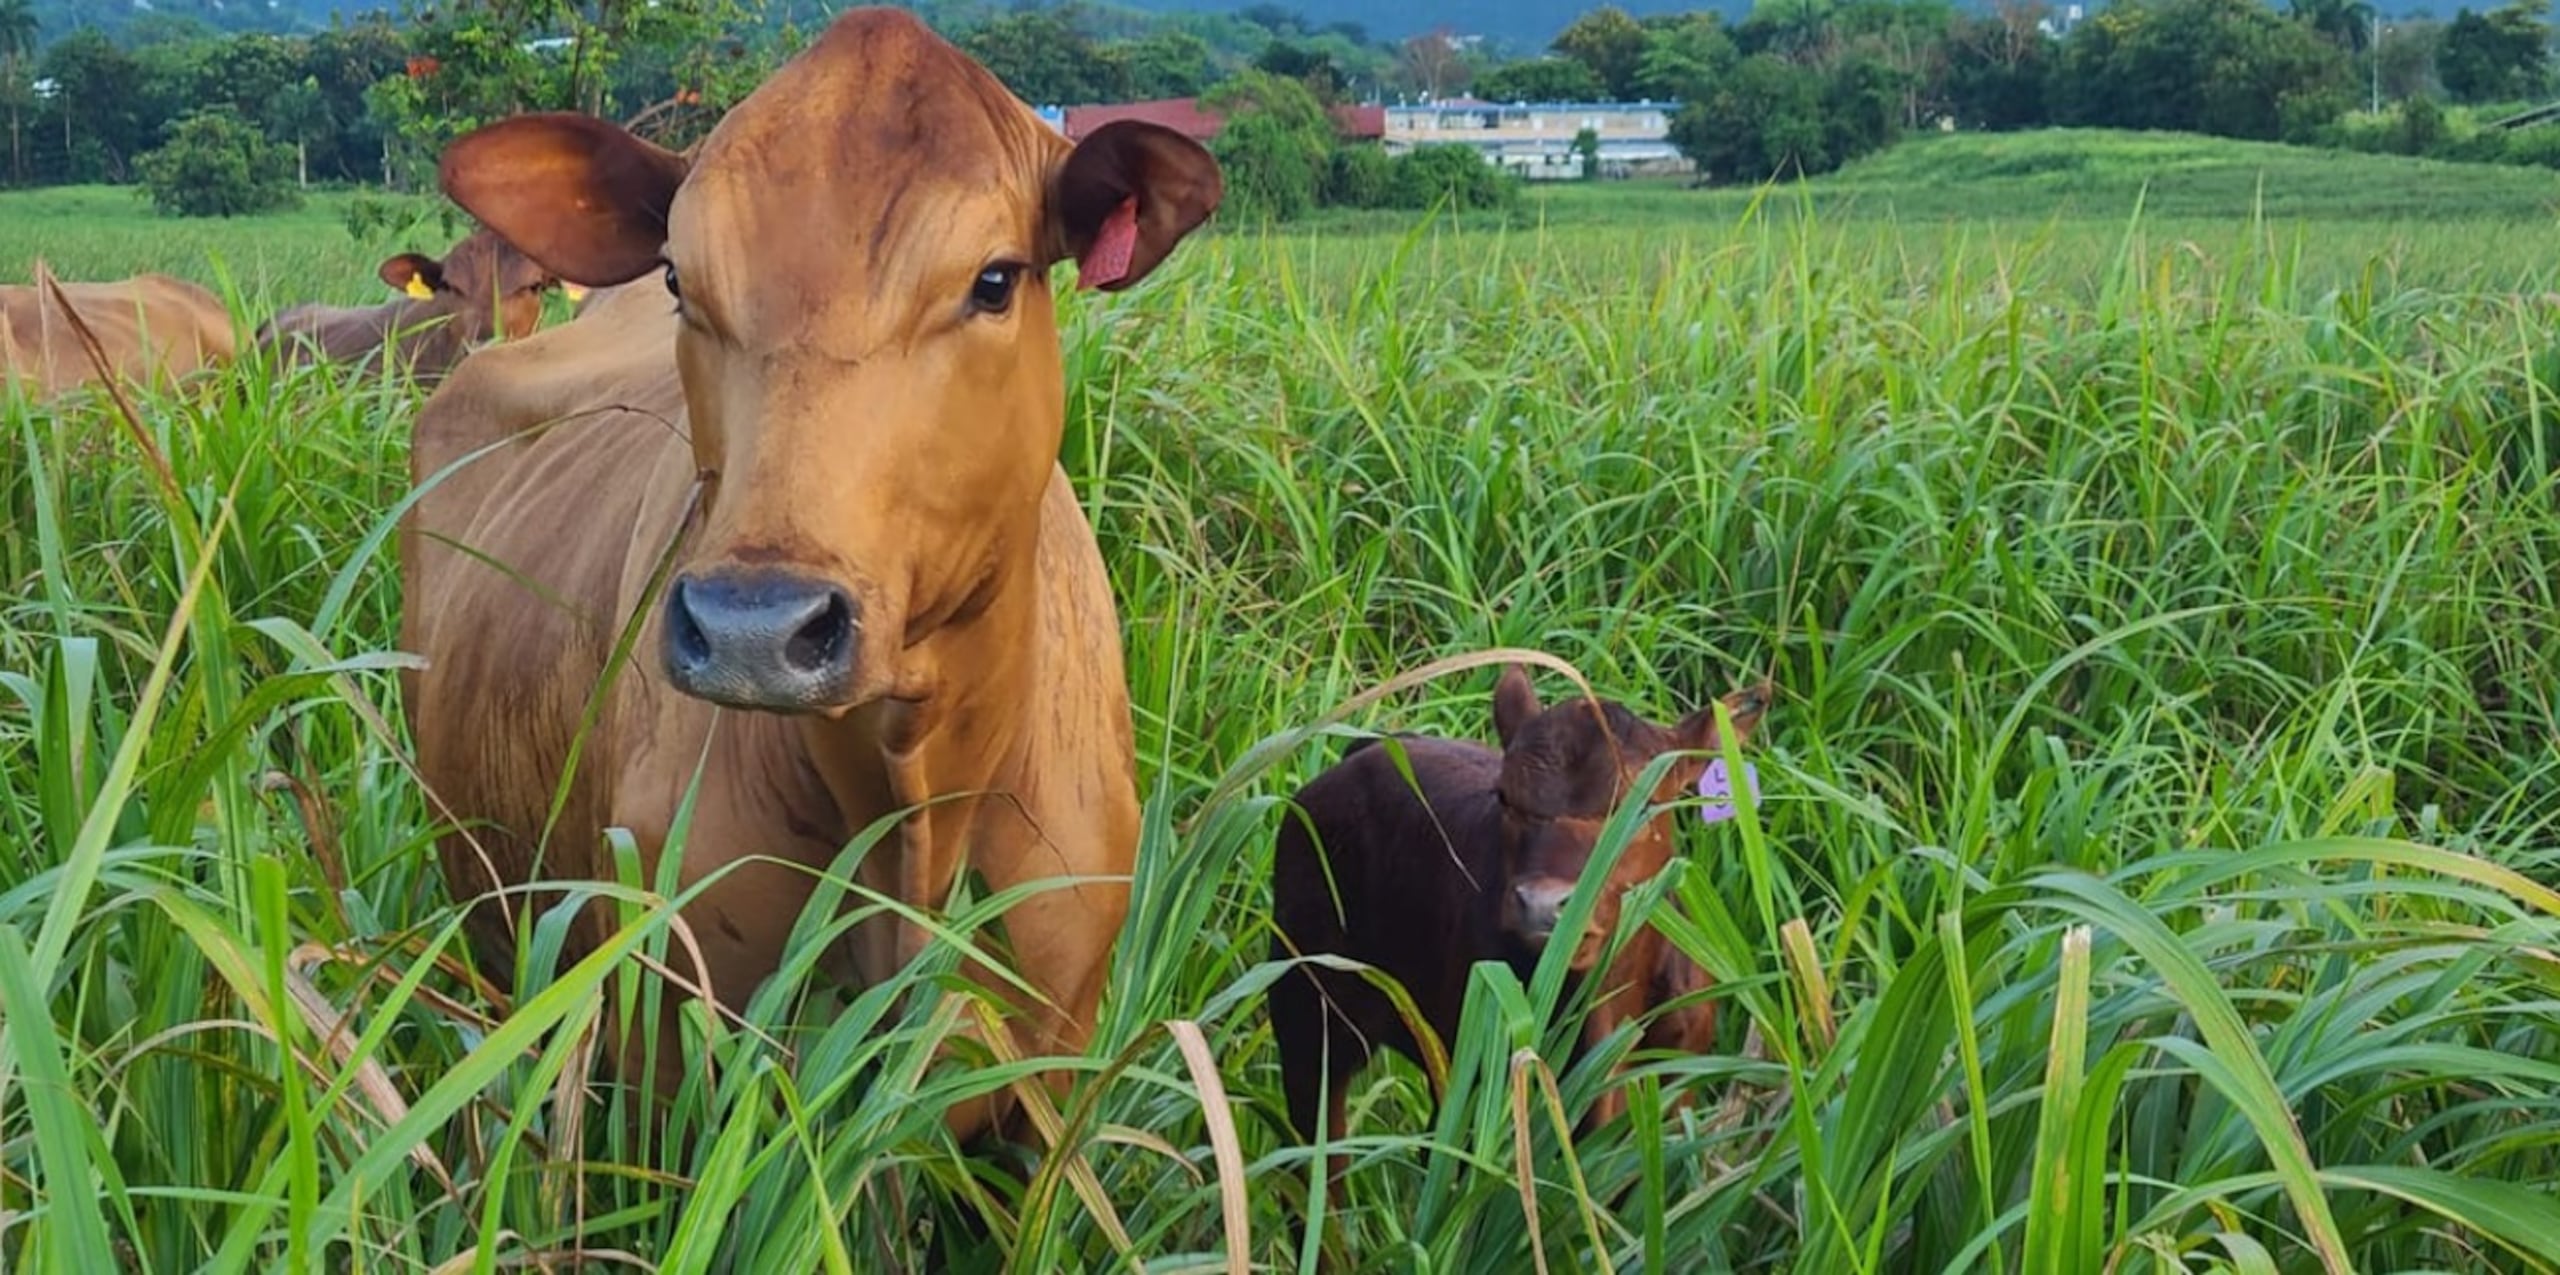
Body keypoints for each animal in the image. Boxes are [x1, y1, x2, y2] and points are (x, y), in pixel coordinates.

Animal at [407, 4, 1218, 1141]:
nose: (754, 627)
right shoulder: (661, 1050)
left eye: (994, 280)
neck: (914, 810)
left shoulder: (1054, 1070)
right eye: (679, 280)